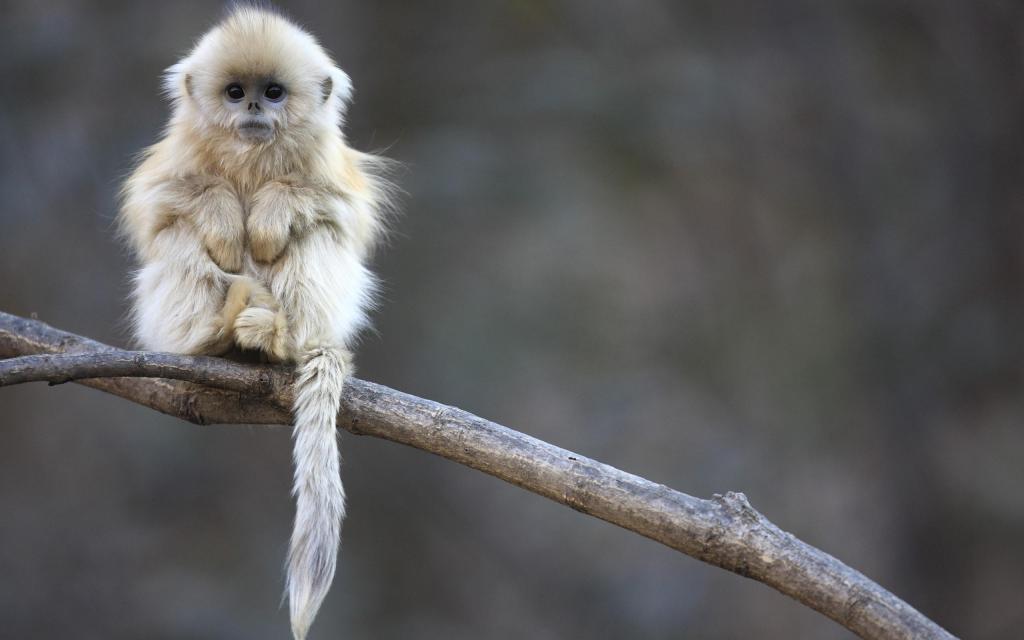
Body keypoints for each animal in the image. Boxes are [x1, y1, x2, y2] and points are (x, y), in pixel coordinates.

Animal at [118, 7, 390, 639]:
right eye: (235, 93)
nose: (254, 112)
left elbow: (339, 211)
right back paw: (212, 336)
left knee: (318, 234)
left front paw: (268, 216)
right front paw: (223, 217)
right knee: (179, 234)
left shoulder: (330, 170)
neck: (251, 156)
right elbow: (158, 206)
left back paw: (277, 338)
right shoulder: (174, 162)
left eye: (274, 92)